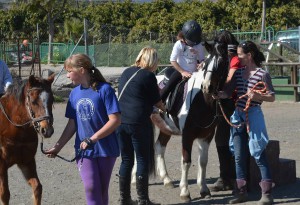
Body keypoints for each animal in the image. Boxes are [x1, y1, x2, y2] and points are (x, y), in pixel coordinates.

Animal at [0, 75, 55, 205]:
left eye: (52, 100)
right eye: (33, 101)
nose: (47, 130)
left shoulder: (26, 161)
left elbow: (37, 187)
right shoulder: (2, 165)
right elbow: (5, 194)